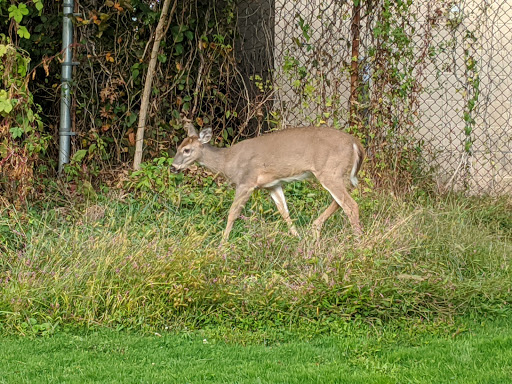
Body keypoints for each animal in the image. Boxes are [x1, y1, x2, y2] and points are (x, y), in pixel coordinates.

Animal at [172, 118, 364, 243]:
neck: (227, 161)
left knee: (351, 205)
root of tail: (355, 143)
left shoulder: (246, 182)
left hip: (330, 171)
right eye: (178, 147)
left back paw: (357, 242)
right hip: (338, 174)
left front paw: (222, 244)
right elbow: (284, 211)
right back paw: (315, 229)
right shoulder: (272, 185)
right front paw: (297, 237)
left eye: (187, 150)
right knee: (341, 201)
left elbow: (233, 213)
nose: (173, 167)